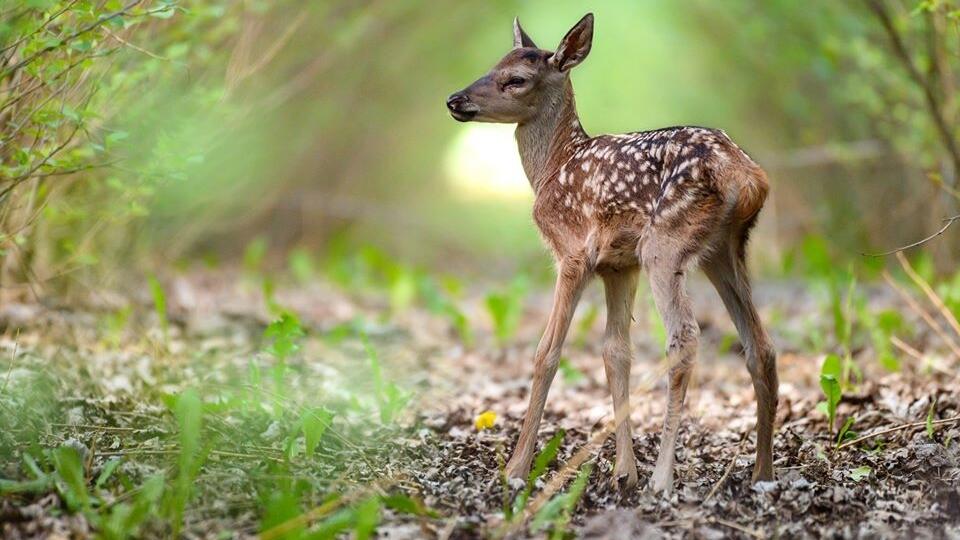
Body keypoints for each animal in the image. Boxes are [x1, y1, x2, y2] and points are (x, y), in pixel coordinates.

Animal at [446, 12, 776, 494]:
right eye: (493, 65)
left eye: (515, 79)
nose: (455, 99)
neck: (553, 168)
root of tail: (745, 174)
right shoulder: (619, 265)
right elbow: (615, 353)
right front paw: (624, 471)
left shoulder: (573, 253)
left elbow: (547, 352)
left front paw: (516, 469)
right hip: (723, 249)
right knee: (760, 345)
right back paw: (762, 472)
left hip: (665, 244)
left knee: (684, 339)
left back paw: (663, 478)